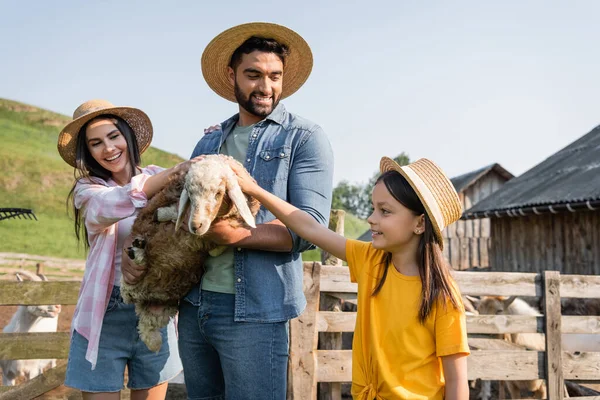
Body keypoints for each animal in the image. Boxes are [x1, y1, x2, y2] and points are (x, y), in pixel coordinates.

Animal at [121, 155, 260, 352]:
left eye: (218, 193)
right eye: (190, 193)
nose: (196, 226)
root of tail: (141, 297)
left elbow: (219, 244)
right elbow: (169, 212)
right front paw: (164, 214)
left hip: (162, 310)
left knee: (147, 330)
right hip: (129, 282)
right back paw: (137, 252)